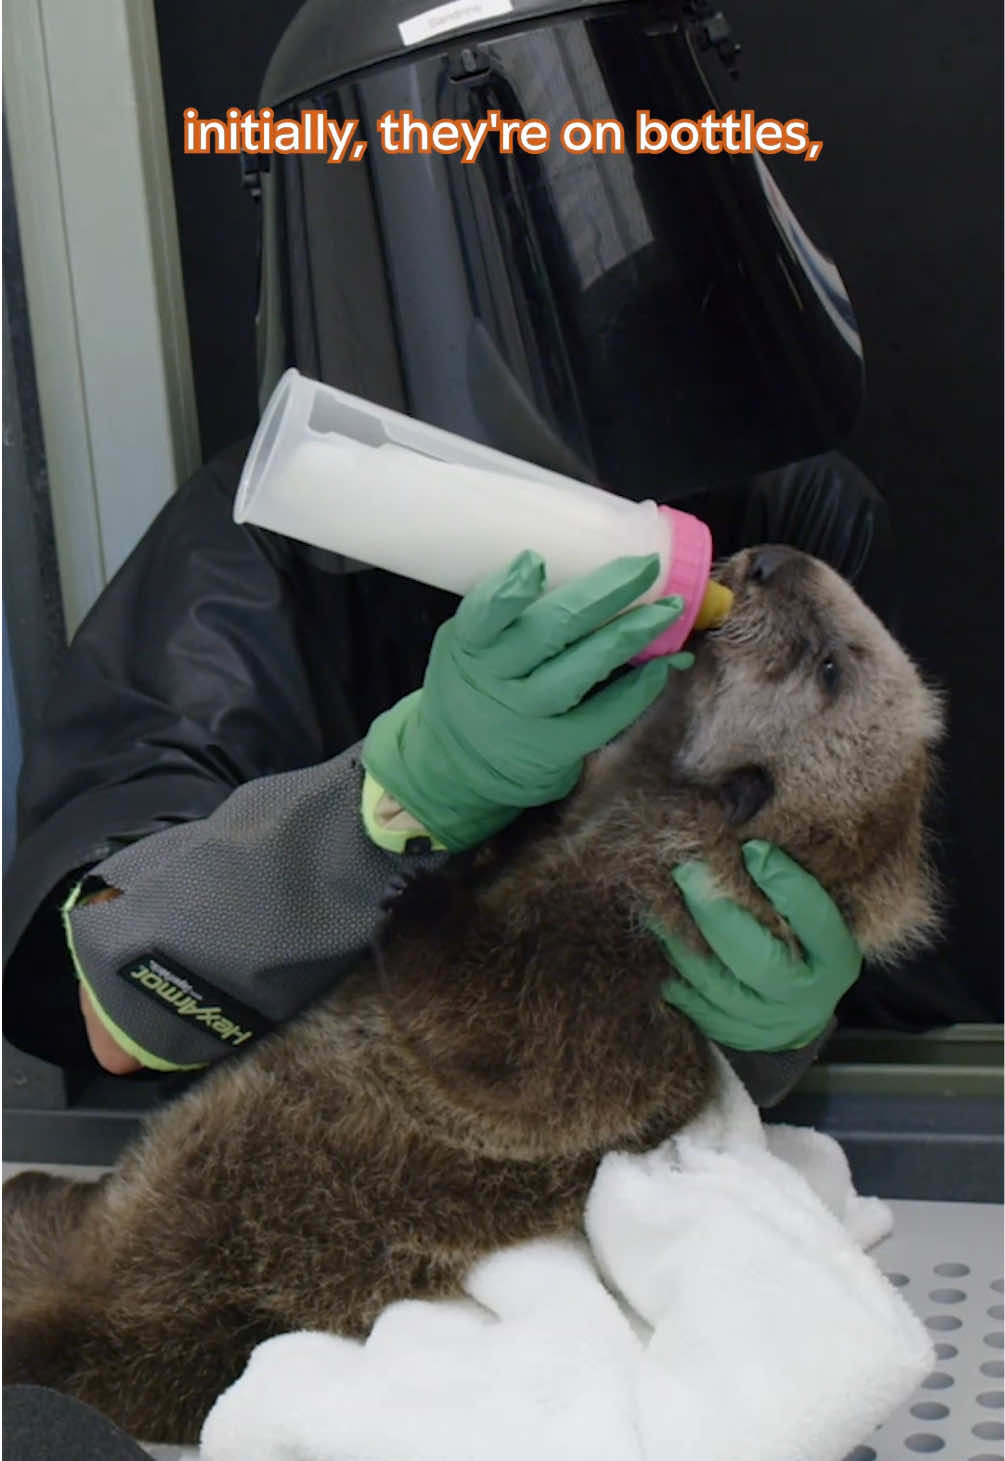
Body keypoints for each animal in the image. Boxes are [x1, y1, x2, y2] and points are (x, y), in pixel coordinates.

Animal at [3, 546, 943, 1444]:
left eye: (829, 665)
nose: (770, 560)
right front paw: (480, 780)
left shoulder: (611, 987)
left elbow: (491, 1037)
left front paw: (420, 898)